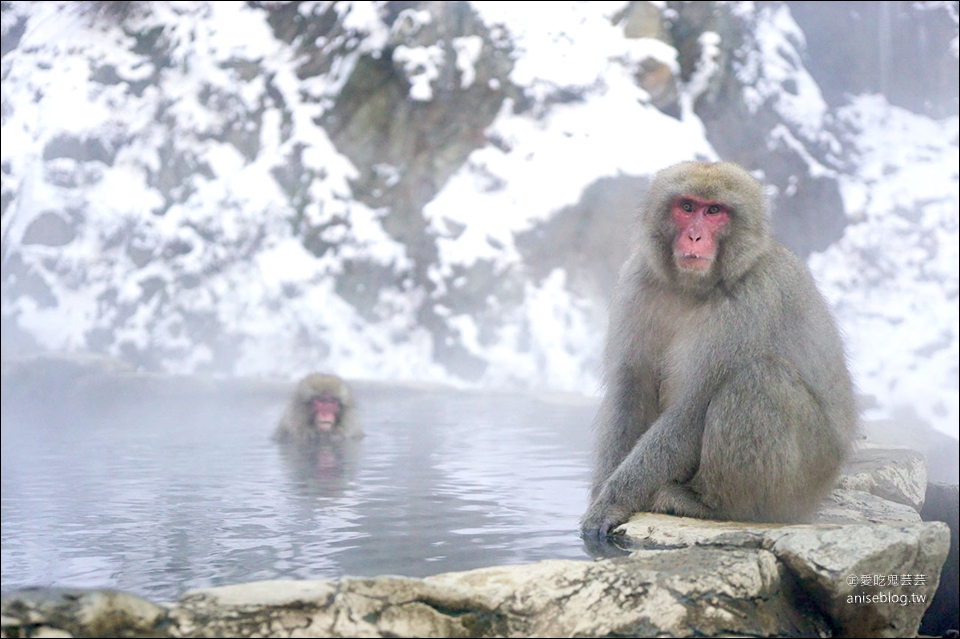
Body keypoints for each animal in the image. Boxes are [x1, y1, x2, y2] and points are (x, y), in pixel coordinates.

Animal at [580, 161, 860, 540]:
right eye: (687, 207)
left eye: (714, 211)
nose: (695, 237)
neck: (692, 288)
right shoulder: (636, 282)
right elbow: (630, 388)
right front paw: (601, 494)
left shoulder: (749, 301)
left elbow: (692, 409)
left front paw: (613, 500)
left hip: (806, 478)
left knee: (759, 379)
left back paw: (710, 504)